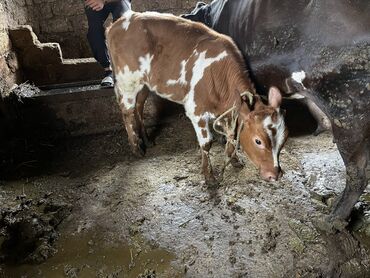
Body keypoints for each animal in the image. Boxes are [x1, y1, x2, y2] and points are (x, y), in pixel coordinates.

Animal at [107, 11, 290, 185]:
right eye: (258, 141)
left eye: (284, 138)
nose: (275, 174)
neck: (218, 74)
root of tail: (117, 23)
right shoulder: (196, 110)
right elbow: (207, 143)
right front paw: (209, 177)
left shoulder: (227, 112)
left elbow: (231, 136)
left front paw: (235, 160)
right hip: (127, 80)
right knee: (127, 111)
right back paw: (136, 147)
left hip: (145, 83)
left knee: (138, 107)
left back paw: (146, 139)